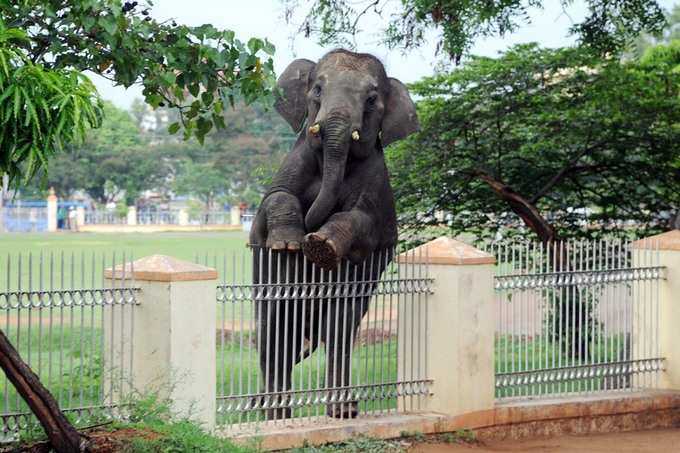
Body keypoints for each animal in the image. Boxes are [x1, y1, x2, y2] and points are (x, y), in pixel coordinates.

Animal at [250, 47, 420, 418]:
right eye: (317, 89)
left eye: (371, 99)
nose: (308, 235)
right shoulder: (293, 160)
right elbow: (276, 196)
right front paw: (289, 244)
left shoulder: (375, 180)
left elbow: (362, 220)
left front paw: (321, 247)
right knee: (276, 327)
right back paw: (275, 414)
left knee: (338, 327)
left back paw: (342, 411)